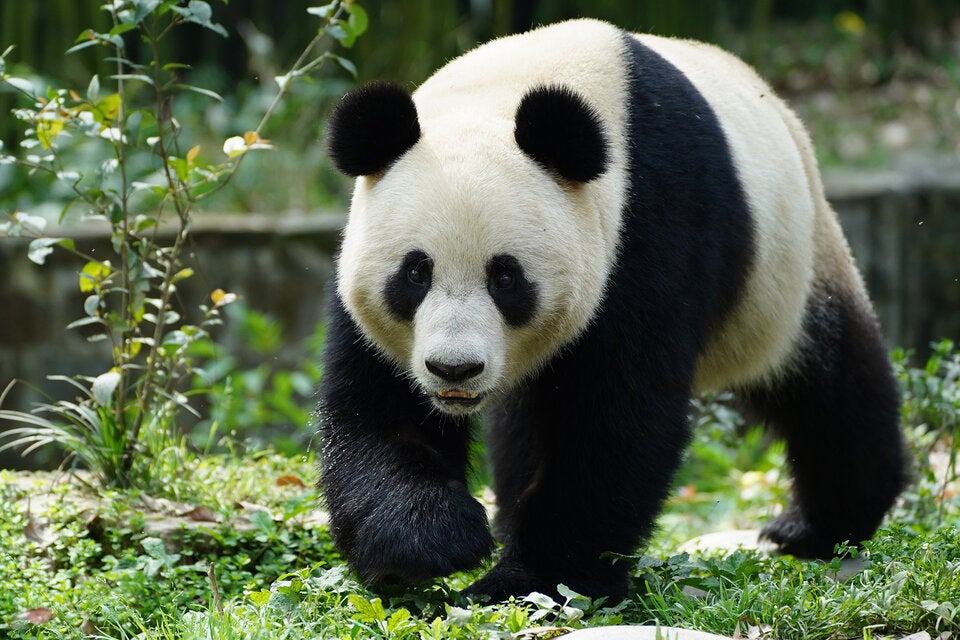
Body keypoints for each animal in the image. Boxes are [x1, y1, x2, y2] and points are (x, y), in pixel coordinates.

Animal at [318, 18, 907, 601]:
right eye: (416, 273)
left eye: (505, 277)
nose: (454, 369)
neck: (510, 88)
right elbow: (378, 408)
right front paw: (430, 540)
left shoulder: (648, 223)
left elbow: (618, 416)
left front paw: (534, 578)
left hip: (790, 269)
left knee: (832, 386)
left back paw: (817, 526)